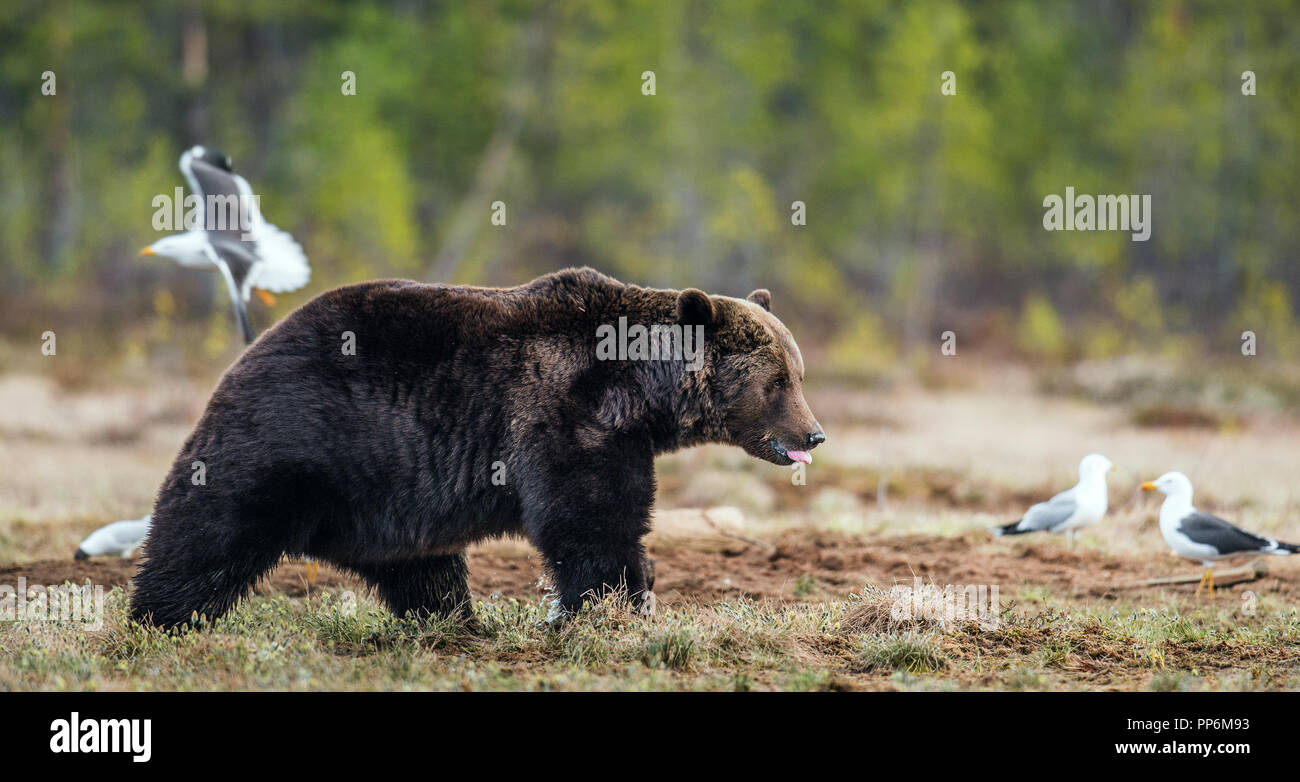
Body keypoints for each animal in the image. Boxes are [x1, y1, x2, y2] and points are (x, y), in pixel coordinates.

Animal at [129, 267, 821, 626]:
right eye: (777, 381)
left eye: (798, 372)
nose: (813, 434)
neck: (634, 392)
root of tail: (246, 355)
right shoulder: (562, 418)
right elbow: (590, 522)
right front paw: (614, 606)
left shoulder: (618, 436)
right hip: (292, 443)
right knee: (206, 537)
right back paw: (158, 620)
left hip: (385, 499)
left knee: (424, 568)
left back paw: (454, 621)